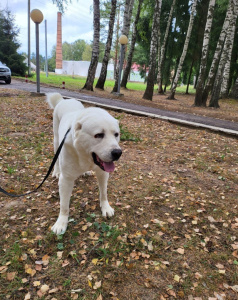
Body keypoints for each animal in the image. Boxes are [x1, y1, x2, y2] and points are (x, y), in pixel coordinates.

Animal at [46, 93, 122, 234]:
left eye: (116, 134)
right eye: (99, 135)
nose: (117, 153)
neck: (86, 157)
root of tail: (64, 100)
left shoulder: (103, 174)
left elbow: (104, 193)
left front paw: (106, 207)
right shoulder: (66, 181)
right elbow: (64, 206)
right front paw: (61, 223)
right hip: (56, 141)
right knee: (56, 159)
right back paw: (56, 171)